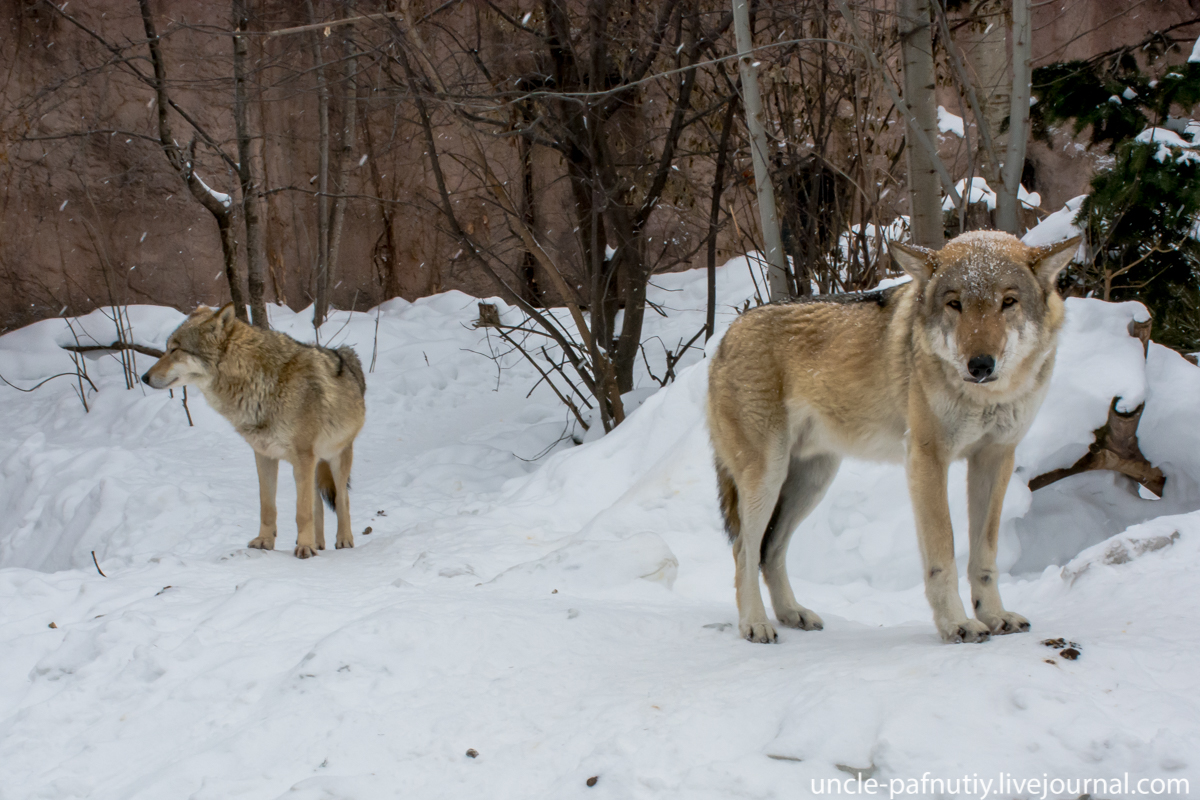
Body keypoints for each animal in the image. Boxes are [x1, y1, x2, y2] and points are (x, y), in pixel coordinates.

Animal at [141, 303, 364, 561]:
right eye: (168, 348)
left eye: (175, 349)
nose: (144, 377)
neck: (259, 382)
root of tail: (347, 356)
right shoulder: (264, 455)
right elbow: (267, 507)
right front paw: (264, 542)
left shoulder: (303, 457)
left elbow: (302, 511)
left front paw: (304, 548)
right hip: (315, 466)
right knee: (318, 503)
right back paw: (319, 543)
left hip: (335, 460)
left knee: (341, 499)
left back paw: (343, 541)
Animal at [705, 231, 1084, 642]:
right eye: (955, 304)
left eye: (1008, 302)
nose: (980, 365)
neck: (987, 397)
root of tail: (726, 335)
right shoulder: (927, 459)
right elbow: (943, 554)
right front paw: (956, 624)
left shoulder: (996, 457)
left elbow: (984, 555)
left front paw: (994, 615)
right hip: (768, 477)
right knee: (744, 550)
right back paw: (755, 623)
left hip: (812, 481)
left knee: (771, 550)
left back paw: (792, 613)